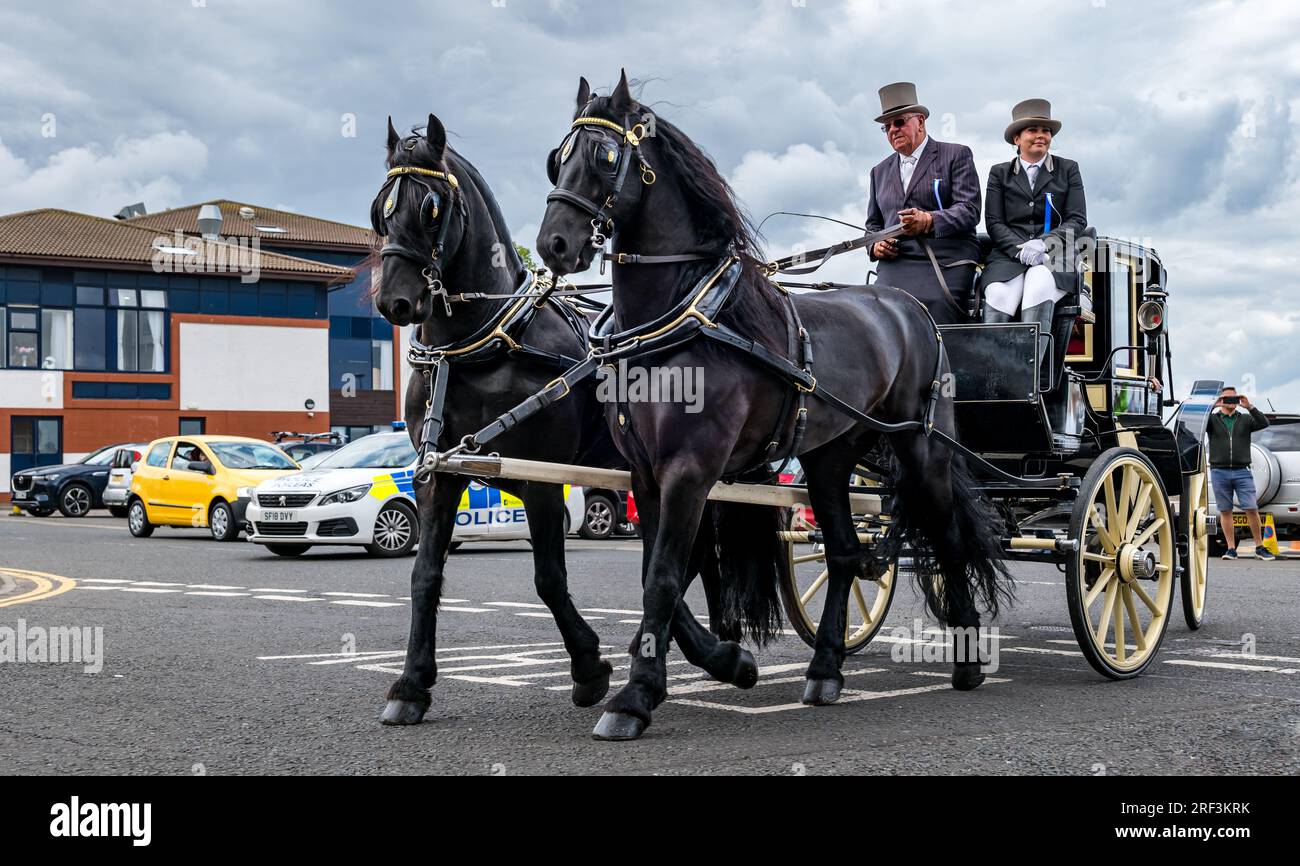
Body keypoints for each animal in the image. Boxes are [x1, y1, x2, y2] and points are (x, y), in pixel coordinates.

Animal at [366, 113, 759, 722]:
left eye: (431, 207)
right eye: (380, 208)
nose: (396, 303)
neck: (477, 348)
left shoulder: (541, 478)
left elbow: (550, 577)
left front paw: (591, 667)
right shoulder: (441, 473)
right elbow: (424, 574)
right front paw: (411, 684)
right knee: (689, 557)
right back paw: (708, 644)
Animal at [533, 72, 1008, 743]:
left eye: (603, 157)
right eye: (559, 156)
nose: (555, 244)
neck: (685, 318)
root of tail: (910, 309)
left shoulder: (690, 470)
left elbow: (665, 577)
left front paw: (634, 697)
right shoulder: (646, 475)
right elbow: (659, 578)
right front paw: (726, 663)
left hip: (921, 447)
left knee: (947, 536)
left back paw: (966, 662)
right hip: (832, 458)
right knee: (843, 553)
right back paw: (826, 670)